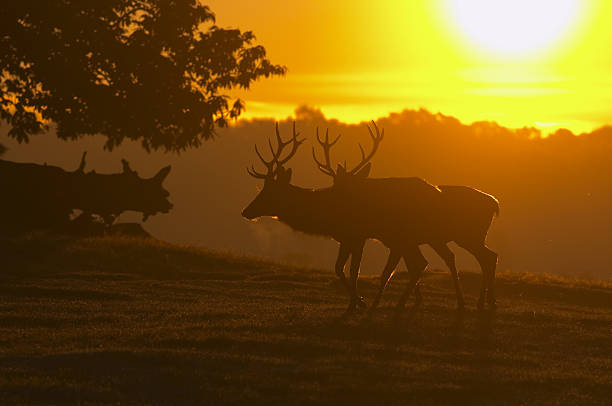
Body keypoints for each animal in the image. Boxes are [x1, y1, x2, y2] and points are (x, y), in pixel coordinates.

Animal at [314, 121, 500, 314]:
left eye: (346, 187)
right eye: (334, 183)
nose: (329, 201)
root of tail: (495, 203)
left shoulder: (398, 240)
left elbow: (388, 272)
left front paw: (373, 305)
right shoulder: (399, 242)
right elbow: (408, 268)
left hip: (469, 235)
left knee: (487, 257)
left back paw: (483, 302)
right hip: (461, 238)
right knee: (486, 257)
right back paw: (484, 302)